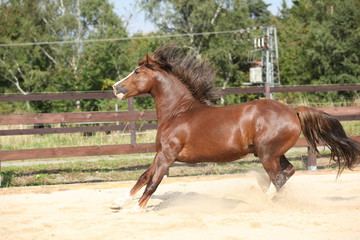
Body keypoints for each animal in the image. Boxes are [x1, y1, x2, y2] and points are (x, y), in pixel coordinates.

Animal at [111, 44, 358, 211]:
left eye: (137, 72)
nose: (115, 87)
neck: (178, 112)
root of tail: (293, 111)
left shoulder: (167, 155)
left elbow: (153, 182)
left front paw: (137, 209)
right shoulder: (160, 154)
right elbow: (144, 176)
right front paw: (119, 203)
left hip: (268, 154)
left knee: (278, 177)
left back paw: (262, 201)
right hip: (273, 153)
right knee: (288, 172)